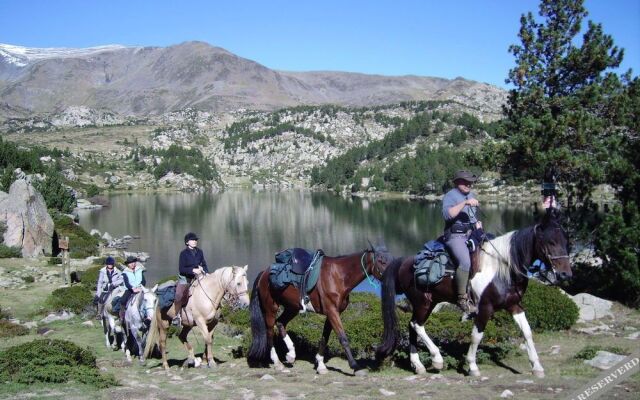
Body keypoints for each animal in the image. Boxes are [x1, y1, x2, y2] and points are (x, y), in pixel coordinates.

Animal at [246, 242, 392, 376]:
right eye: (381, 261)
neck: (338, 276)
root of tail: (264, 273)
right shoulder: (332, 312)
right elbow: (343, 338)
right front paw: (355, 367)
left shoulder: (332, 313)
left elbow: (324, 338)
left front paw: (321, 365)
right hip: (271, 308)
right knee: (270, 332)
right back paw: (277, 363)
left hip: (292, 307)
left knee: (281, 322)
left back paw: (291, 355)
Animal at [378, 208, 572, 376]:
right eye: (550, 242)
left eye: (565, 242)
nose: (565, 274)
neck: (502, 269)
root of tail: (404, 261)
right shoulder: (484, 308)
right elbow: (477, 336)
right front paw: (472, 366)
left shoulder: (514, 305)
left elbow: (527, 332)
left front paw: (537, 367)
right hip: (423, 303)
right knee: (417, 325)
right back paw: (437, 360)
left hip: (429, 303)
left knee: (412, 326)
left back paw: (418, 365)